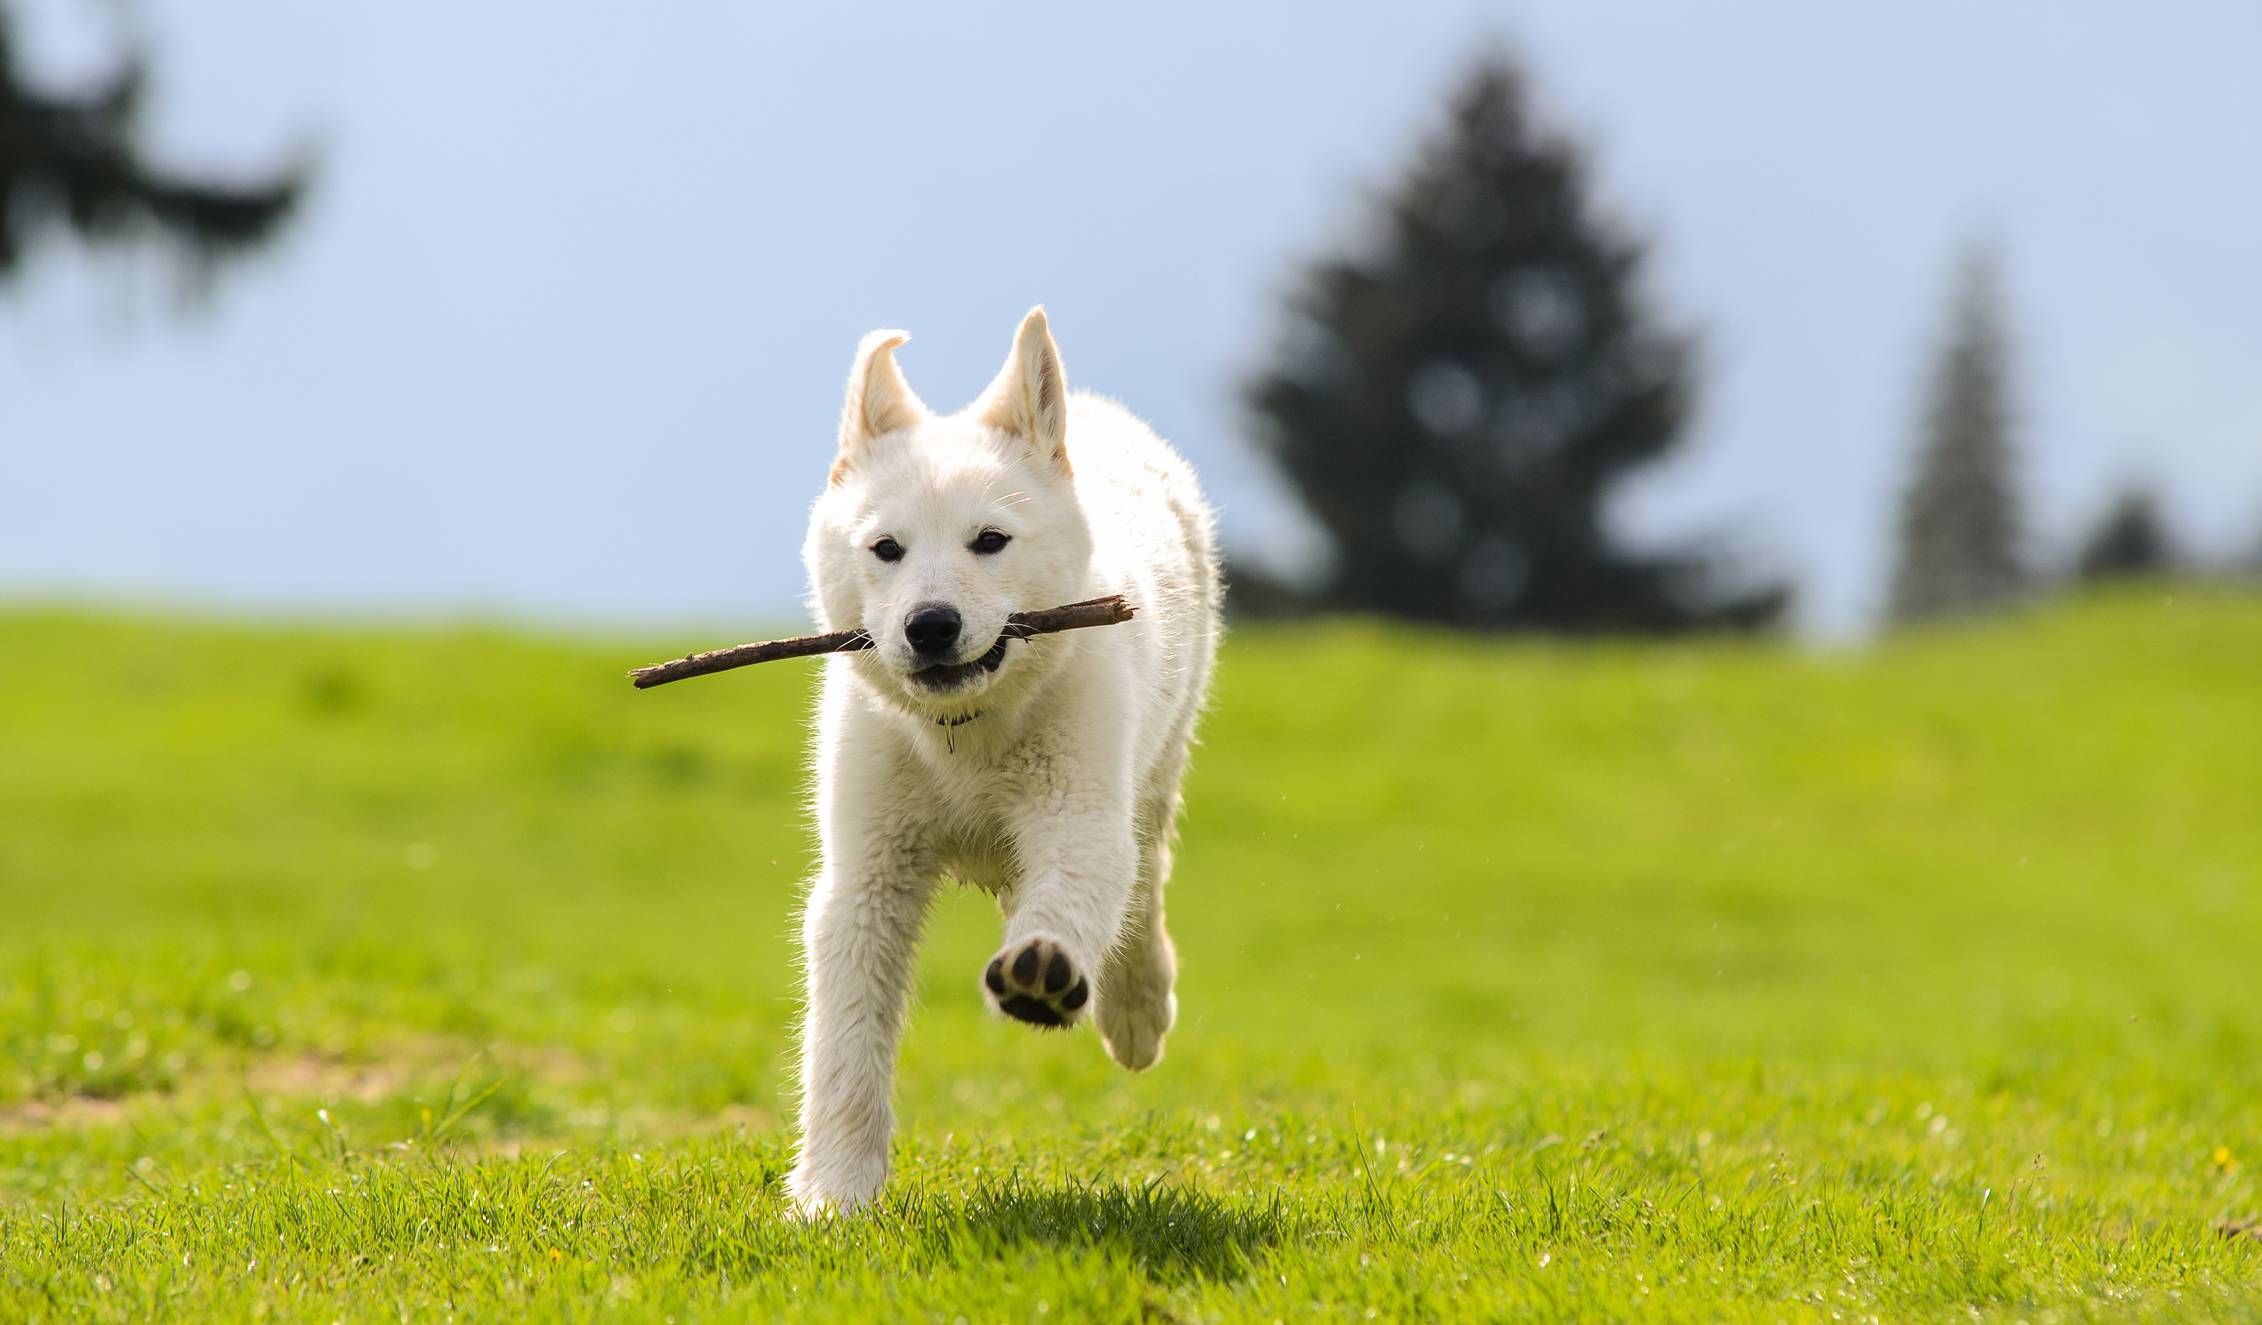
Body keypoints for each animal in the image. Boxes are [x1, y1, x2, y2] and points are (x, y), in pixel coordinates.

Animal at [787, 307, 1230, 1202]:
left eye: (990, 541)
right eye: (885, 549)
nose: (930, 626)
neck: (967, 734)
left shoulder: (1079, 812)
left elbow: (1073, 896)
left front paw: (1044, 969)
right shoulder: (865, 871)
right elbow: (845, 1044)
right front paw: (834, 1198)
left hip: (1156, 767)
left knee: (1143, 887)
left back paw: (1136, 1009)